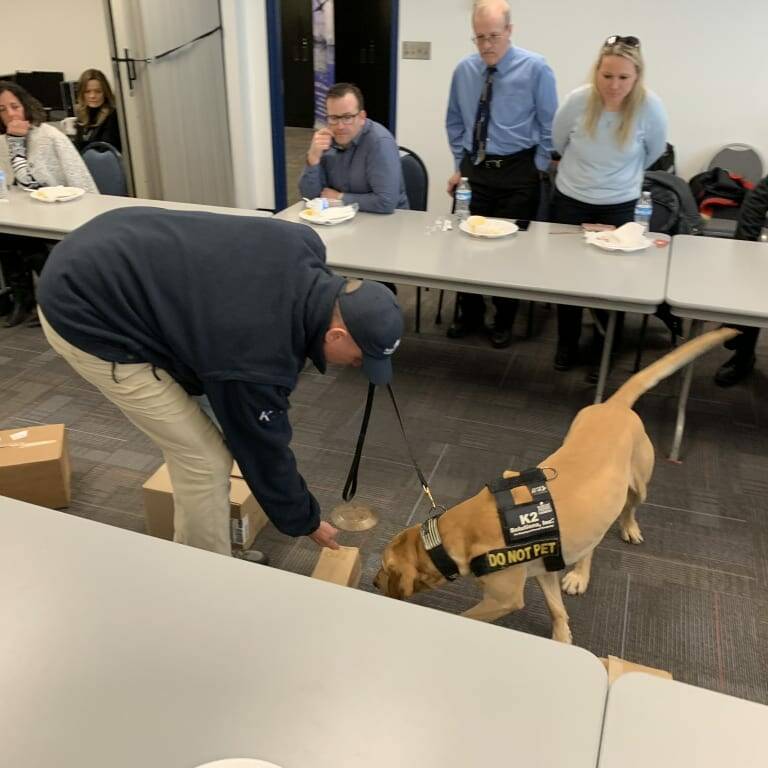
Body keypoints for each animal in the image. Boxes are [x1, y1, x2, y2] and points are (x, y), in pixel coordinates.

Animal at [376, 328, 736, 640]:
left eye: (384, 568)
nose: (375, 583)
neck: (454, 534)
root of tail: (614, 405)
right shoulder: (545, 565)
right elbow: (555, 608)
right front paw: (562, 638)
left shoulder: (504, 598)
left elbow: (466, 617)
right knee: (593, 542)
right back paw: (579, 573)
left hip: (640, 483)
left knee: (629, 509)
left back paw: (621, 535)